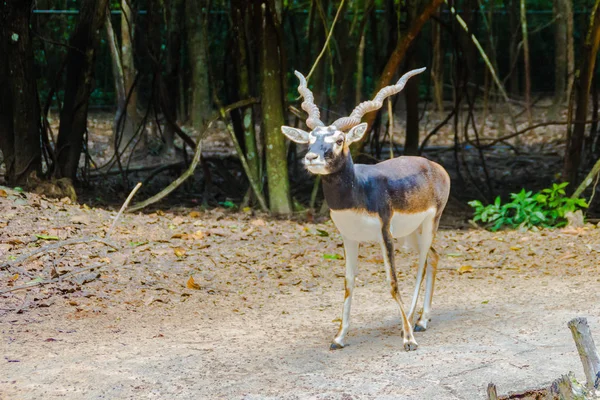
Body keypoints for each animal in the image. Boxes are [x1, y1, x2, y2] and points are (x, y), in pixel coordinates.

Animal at [282, 67, 450, 352]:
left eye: (339, 140)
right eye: (311, 139)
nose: (311, 158)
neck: (359, 190)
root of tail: (436, 167)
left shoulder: (384, 233)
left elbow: (392, 282)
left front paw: (408, 340)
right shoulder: (349, 237)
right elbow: (348, 284)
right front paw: (339, 337)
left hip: (429, 225)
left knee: (422, 264)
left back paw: (413, 324)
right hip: (409, 234)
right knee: (434, 257)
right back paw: (421, 320)